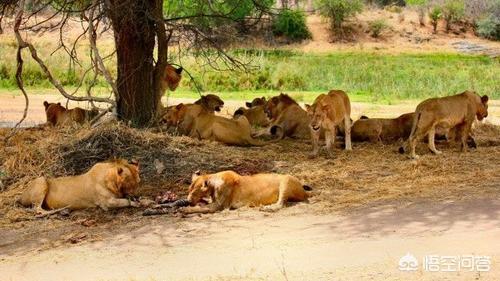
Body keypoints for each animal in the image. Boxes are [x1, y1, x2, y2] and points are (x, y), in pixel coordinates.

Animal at [182, 170, 310, 213]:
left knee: (281, 204)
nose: (188, 200)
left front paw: (185, 209)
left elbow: (199, 208)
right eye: (188, 191)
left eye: (194, 193)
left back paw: (267, 208)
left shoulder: (218, 206)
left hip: (286, 180)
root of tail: (304, 190)